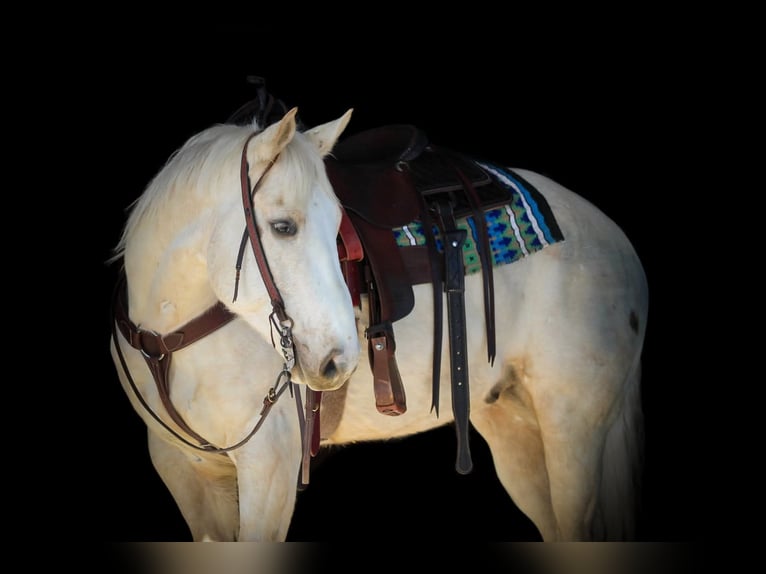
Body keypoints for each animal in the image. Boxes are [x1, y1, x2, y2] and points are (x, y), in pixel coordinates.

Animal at [109, 104, 648, 542]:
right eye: (283, 227)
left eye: (338, 229)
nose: (337, 361)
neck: (170, 335)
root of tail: (617, 242)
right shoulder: (185, 471)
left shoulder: (269, 467)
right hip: (513, 425)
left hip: (572, 428)